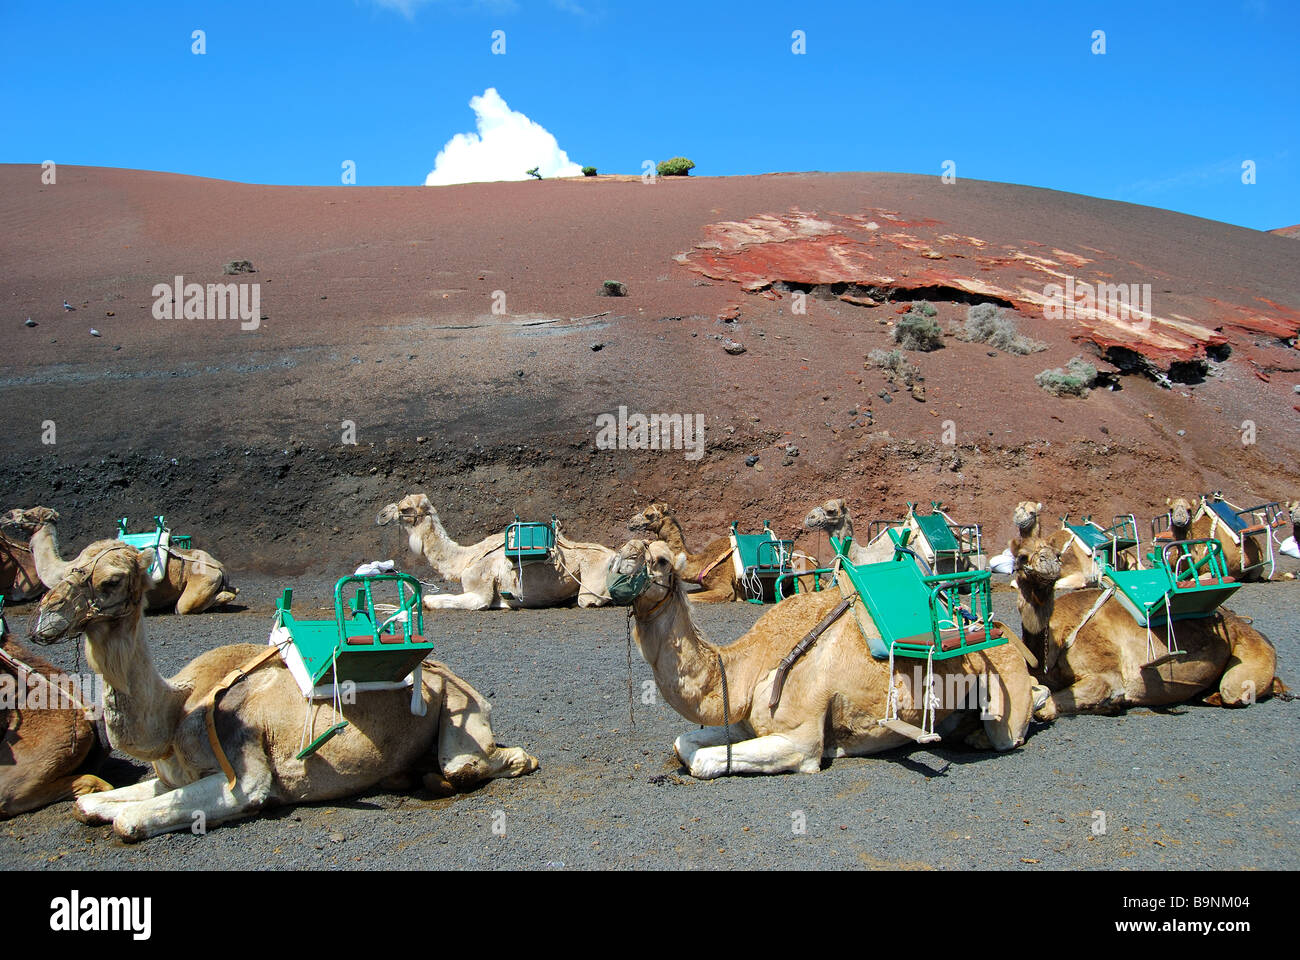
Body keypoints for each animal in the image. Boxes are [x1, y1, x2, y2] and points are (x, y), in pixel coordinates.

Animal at [2, 507, 238, 614]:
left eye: (28, 515)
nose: (7, 515)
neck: (65, 568)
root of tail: (220, 567)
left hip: (200, 583)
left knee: (183, 606)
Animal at [30, 540, 538, 841]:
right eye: (72, 567)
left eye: (111, 580)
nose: (44, 619)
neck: (176, 712)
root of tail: (455, 676)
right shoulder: (173, 776)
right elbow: (90, 804)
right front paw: (95, 803)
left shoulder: (245, 776)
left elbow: (129, 821)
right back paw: (409, 776)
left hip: (458, 712)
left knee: (473, 764)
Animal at [377, 493, 615, 609]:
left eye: (405, 508)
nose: (381, 515)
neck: (465, 559)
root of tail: (614, 555)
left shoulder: (478, 589)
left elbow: (433, 600)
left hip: (592, 585)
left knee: (588, 599)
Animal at [608, 539, 1036, 778]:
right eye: (620, 549)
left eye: (661, 560)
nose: (616, 570)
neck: (747, 669)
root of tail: (997, 630)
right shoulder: (747, 724)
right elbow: (684, 744)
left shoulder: (801, 739)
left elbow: (702, 762)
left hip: (1002, 695)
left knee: (1011, 725)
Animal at [1009, 535, 1287, 720]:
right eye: (1021, 556)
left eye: (1057, 554)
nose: (1049, 564)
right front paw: (1110, 706)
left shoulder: (1105, 675)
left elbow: (1047, 708)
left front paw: (1110, 702)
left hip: (1245, 660)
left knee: (1234, 689)